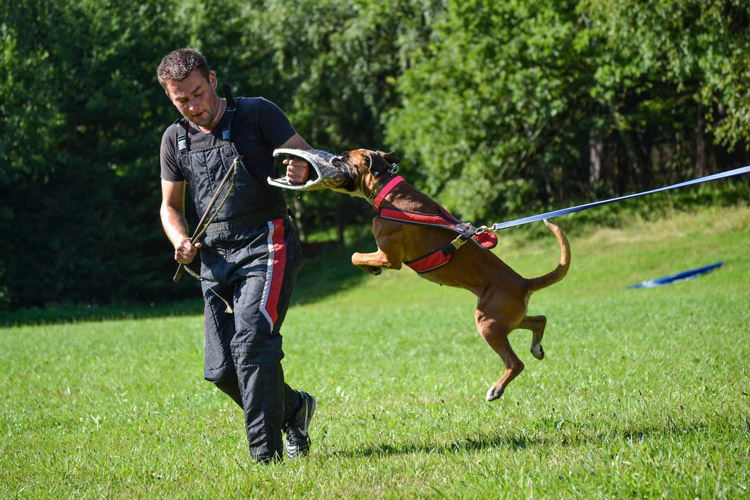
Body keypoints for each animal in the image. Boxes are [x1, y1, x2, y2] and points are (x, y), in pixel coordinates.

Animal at [328, 149, 568, 402]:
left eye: (346, 157)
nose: (334, 157)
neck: (387, 189)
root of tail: (523, 282)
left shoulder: (388, 258)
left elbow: (354, 256)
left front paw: (370, 268)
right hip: (505, 320)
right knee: (540, 319)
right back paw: (536, 348)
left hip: (488, 324)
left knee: (515, 363)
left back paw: (496, 389)